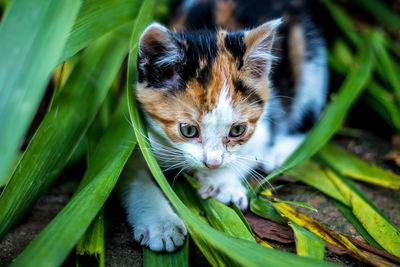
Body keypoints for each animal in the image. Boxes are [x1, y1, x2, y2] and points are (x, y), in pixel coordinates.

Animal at [118, 0, 328, 252]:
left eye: (237, 130)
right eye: (188, 130)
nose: (213, 163)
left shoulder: (264, 123)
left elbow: (249, 152)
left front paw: (222, 183)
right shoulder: (136, 131)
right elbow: (134, 174)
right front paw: (161, 224)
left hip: (311, 55)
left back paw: (281, 152)